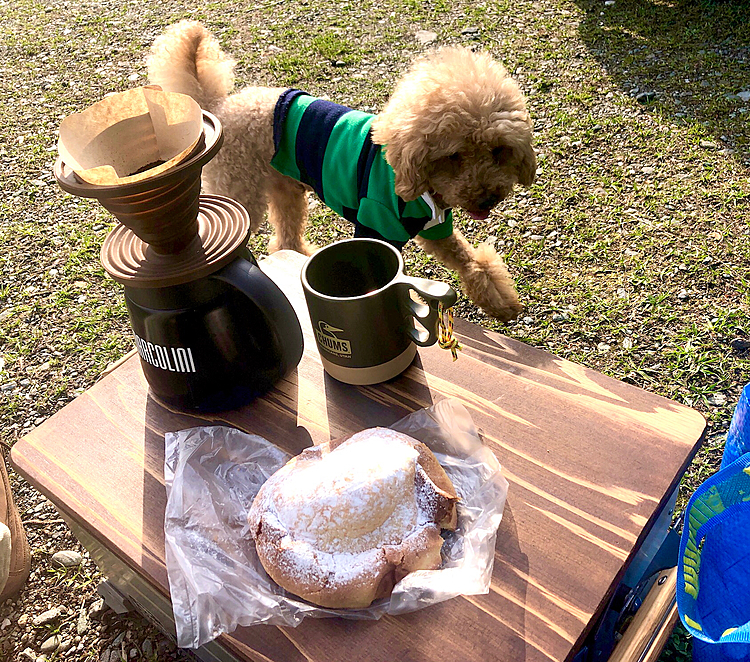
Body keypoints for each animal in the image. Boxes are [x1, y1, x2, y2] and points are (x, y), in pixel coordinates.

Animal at [148, 20, 536, 322]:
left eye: (498, 151)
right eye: (454, 155)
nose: (488, 198)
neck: (413, 181)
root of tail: (219, 104)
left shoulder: (434, 228)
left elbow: (471, 262)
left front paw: (501, 303)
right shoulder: (375, 226)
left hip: (286, 189)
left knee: (285, 238)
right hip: (241, 190)